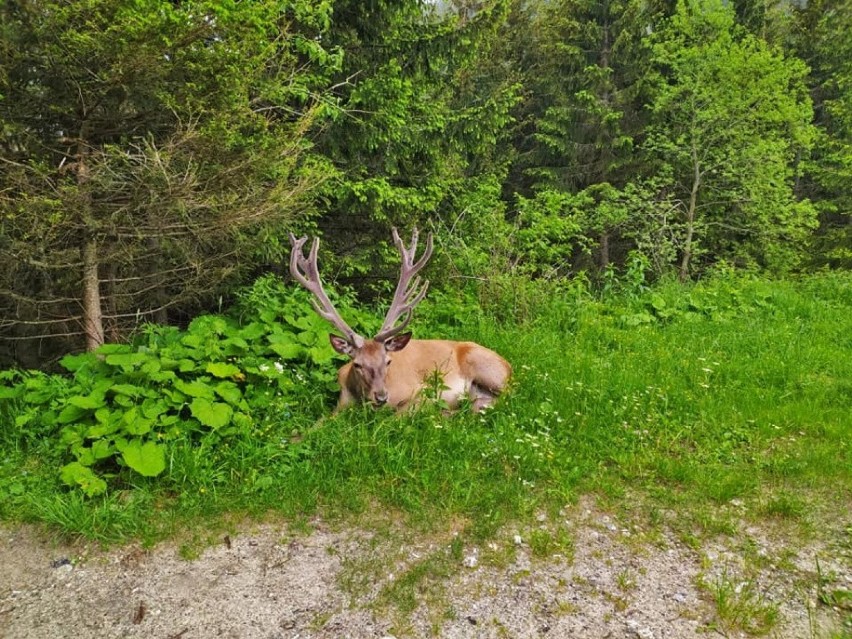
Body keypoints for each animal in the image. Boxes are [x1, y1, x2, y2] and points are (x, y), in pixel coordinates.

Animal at [290, 228, 510, 412]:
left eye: (388, 361)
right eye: (357, 364)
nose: (381, 397)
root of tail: (509, 366)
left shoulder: (421, 393)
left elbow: (398, 416)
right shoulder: (340, 403)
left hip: (487, 368)